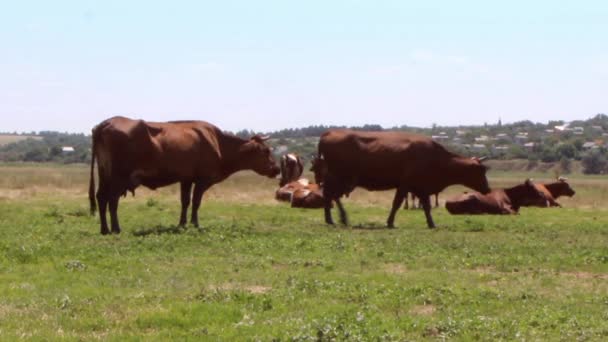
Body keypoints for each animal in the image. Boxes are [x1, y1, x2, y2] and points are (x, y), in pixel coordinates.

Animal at [89, 116, 280, 234]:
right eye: (266, 151)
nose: (277, 168)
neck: (218, 143)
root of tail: (105, 123)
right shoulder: (202, 179)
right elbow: (196, 202)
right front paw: (195, 224)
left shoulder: (186, 179)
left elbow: (185, 201)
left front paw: (182, 224)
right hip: (118, 176)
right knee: (112, 200)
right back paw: (116, 229)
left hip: (105, 173)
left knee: (101, 197)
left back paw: (104, 229)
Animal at [316, 130, 492, 228]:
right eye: (481, 170)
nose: (488, 189)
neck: (435, 157)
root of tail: (328, 133)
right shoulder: (405, 186)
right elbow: (397, 204)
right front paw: (390, 222)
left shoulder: (421, 188)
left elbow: (426, 207)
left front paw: (431, 223)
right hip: (339, 178)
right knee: (330, 195)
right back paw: (336, 219)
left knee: (331, 196)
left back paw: (336, 219)